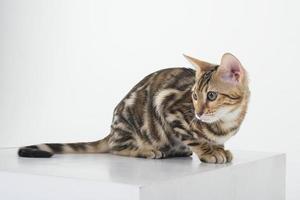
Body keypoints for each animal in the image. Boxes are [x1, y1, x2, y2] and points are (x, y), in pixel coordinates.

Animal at [17, 53, 250, 164]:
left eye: (211, 95)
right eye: (194, 96)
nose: (198, 113)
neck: (227, 121)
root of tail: (112, 131)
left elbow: (214, 141)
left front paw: (219, 149)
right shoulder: (168, 107)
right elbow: (194, 138)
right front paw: (208, 151)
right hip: (131, 123)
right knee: (116, 148)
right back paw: (147, 150)